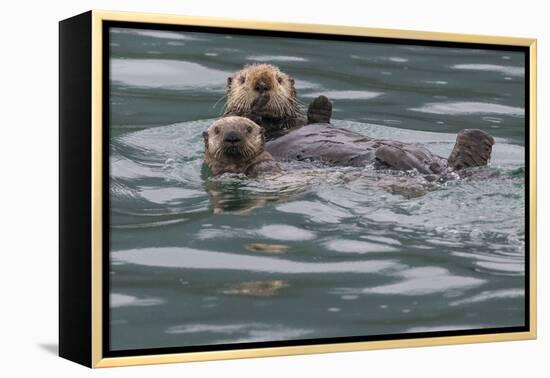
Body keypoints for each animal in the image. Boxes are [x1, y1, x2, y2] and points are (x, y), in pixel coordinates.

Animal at [223, 63, 496, 173]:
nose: (262, 84)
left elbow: (318, 120)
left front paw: (322, 102)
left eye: (279, 79)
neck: (277, 125)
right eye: (243, 79)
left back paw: (478, 142)